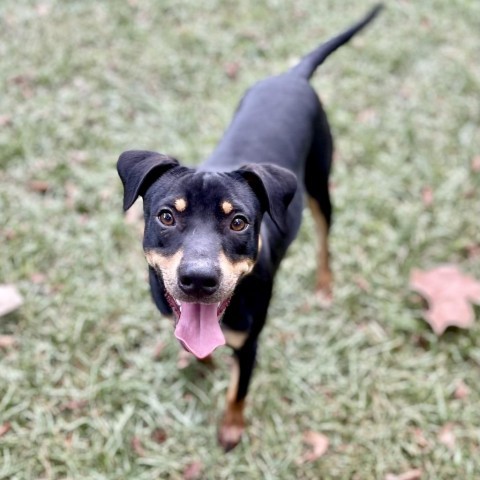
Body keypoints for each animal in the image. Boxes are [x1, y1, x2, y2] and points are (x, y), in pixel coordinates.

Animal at [116, 5, 382, 452]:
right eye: (167, 216)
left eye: (238, 221)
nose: (199, 280)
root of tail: (291, 76)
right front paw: (200, 360)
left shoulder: (250, 343)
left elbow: (237, 391)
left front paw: (231, 428)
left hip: (319, 183)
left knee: (325, 239)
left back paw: (325, 285)